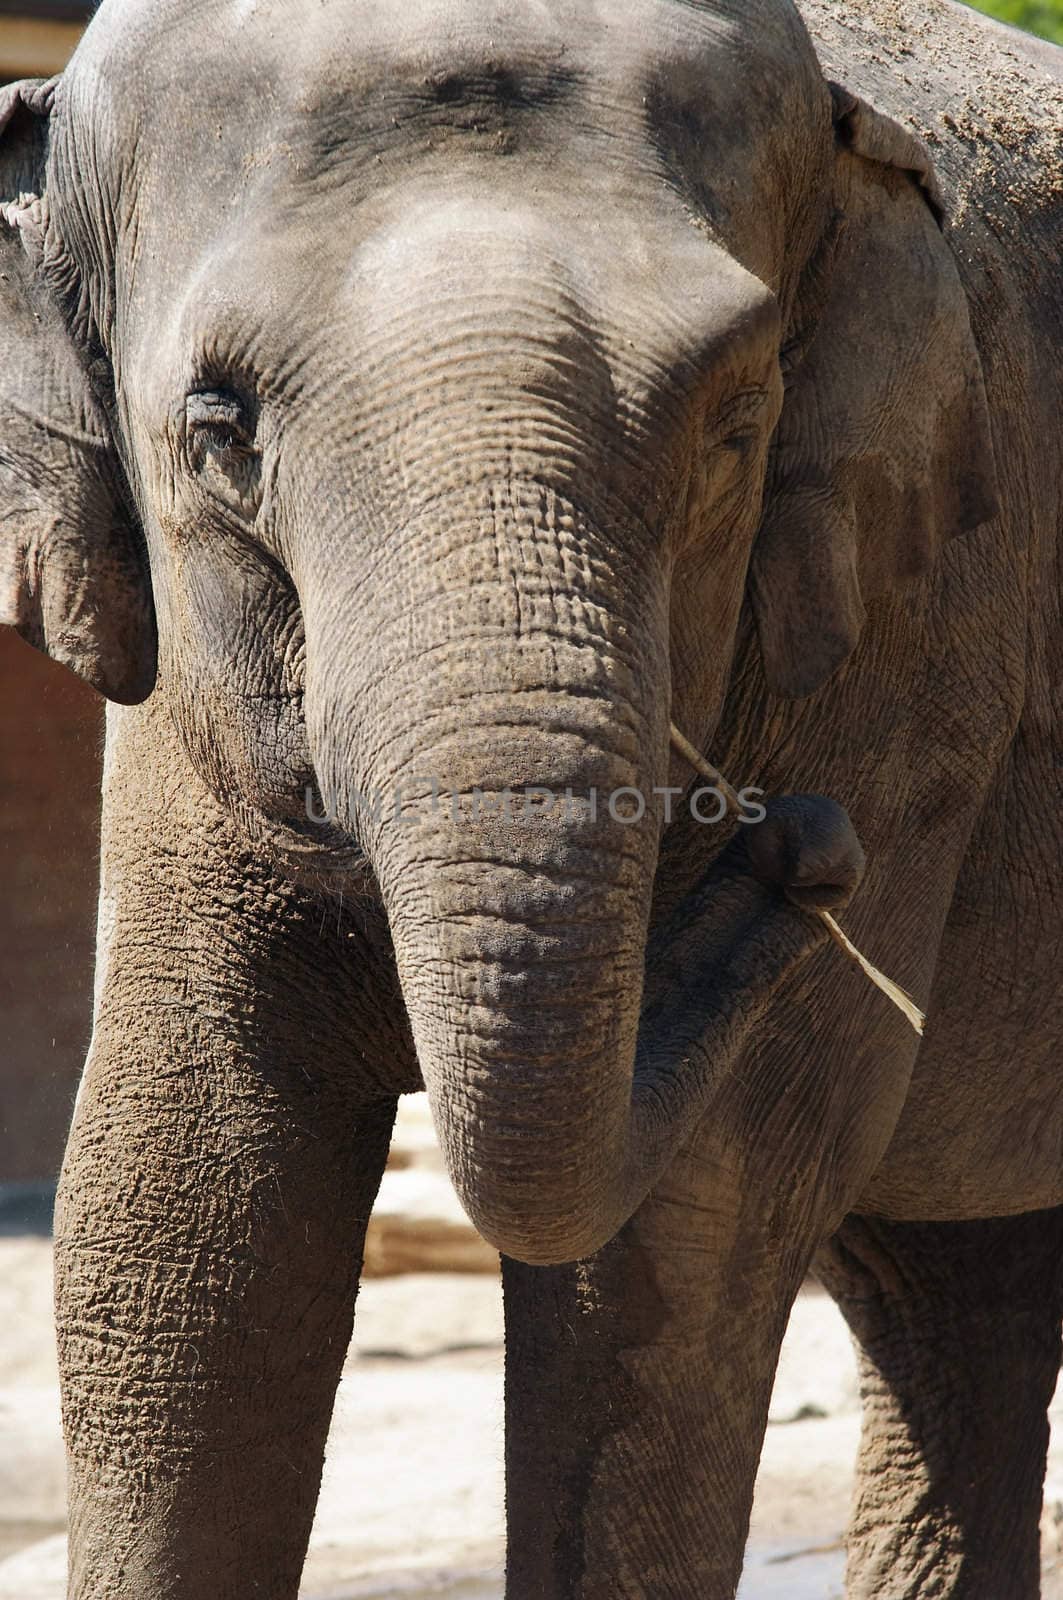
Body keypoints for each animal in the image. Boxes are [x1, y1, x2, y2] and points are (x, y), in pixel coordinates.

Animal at [2, 0, 1063, 1593]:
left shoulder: (910, 651)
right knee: (955, 1291)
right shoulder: (176, 725)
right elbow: (183, 1203)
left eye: (735, 424)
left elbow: (685, 1238)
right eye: (219, 426)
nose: (808, 851)